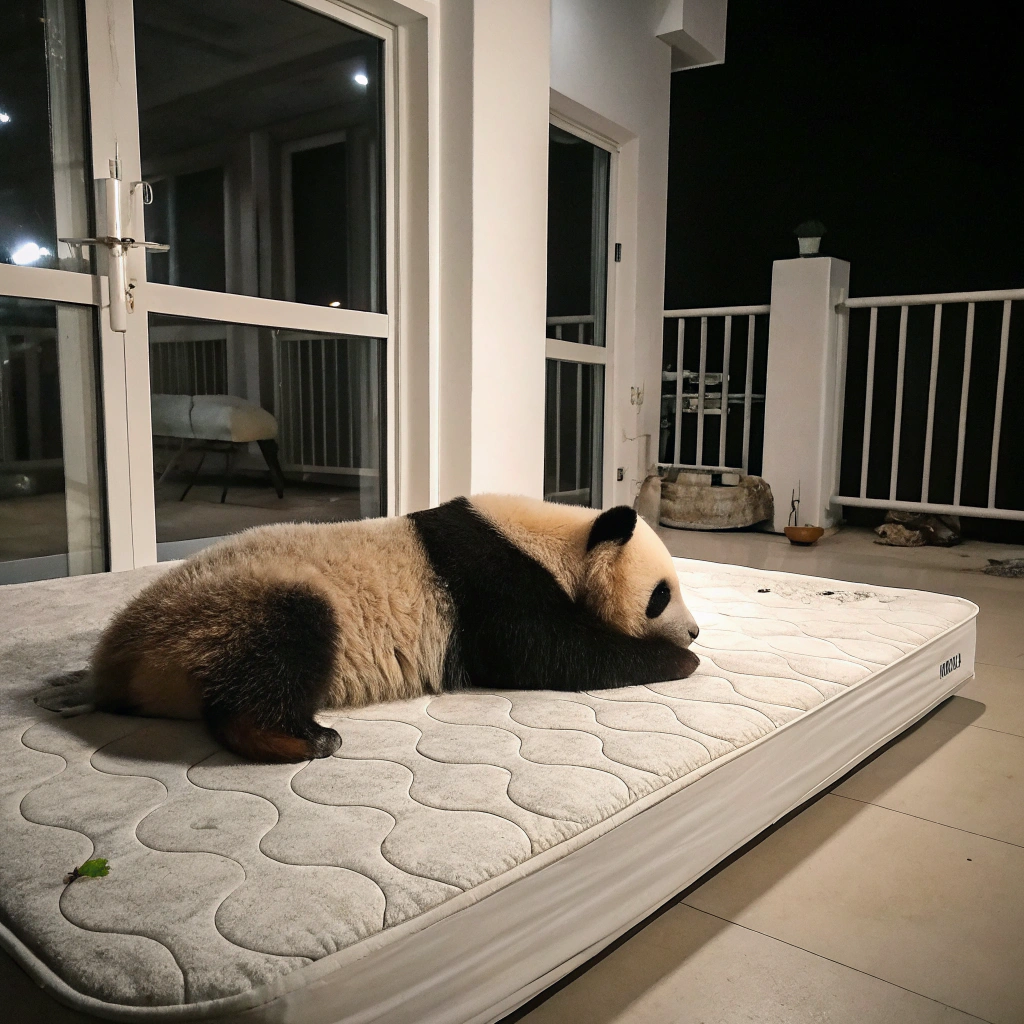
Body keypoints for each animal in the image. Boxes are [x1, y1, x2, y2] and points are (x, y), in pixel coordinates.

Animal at [91, 494, 701, 763]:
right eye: (660, 595)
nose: (694, 632)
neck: (559, 538)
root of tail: (117, 666)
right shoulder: (490, 584)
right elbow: (546, 652)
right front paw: (680, 662)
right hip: (234, 604)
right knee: (282, 644)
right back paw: (302, 738)